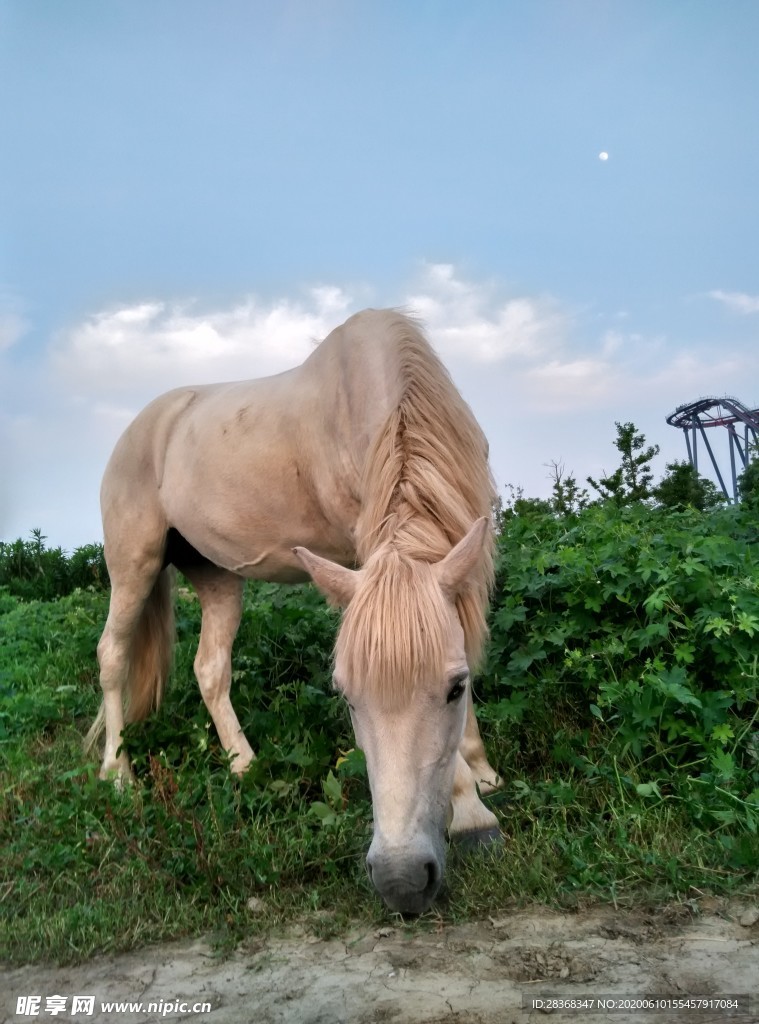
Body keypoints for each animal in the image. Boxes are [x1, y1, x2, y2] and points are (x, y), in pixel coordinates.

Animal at [86, 308, 501, 915]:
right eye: (347, 696)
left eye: (456, 687)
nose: (400, 881)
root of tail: (139, 429)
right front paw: (470, 809)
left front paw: (482, 772)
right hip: (132, 565)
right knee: (112, 656)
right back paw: (117, 773)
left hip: (217, 577)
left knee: (210, 669)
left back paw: (245, 765)